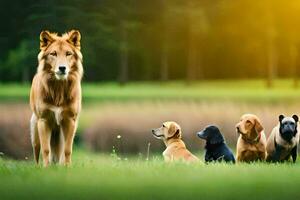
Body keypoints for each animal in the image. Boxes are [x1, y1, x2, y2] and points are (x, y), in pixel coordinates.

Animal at [29, 30, 82, 167]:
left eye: (68, 54)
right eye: (53, 53)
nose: (62, 68)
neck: (58, 88)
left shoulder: (70, 121)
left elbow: (67, 150)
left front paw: (67, 168)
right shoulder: (43, 121)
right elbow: (46, 149)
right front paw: (46, 168)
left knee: (61, 152)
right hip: (35, 133)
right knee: (36, 153)